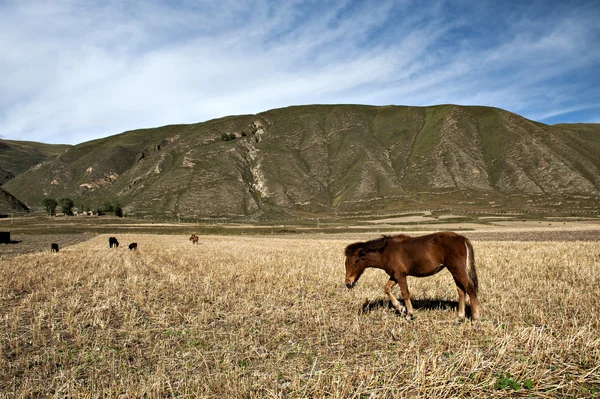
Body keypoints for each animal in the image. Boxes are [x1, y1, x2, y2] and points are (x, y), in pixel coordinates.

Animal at [344, 231, 480, 322]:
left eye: (353, 262)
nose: (348, 283)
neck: (386, 252)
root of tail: (462, 239)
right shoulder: (394, 276)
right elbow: (387, 288)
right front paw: (401, 308)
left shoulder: (400, 276)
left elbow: (405, 293)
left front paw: (409, 314)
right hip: (455, 271)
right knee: (461, 291)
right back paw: (460, 317)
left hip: (457, 270)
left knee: (470, 289)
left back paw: (475, 317)